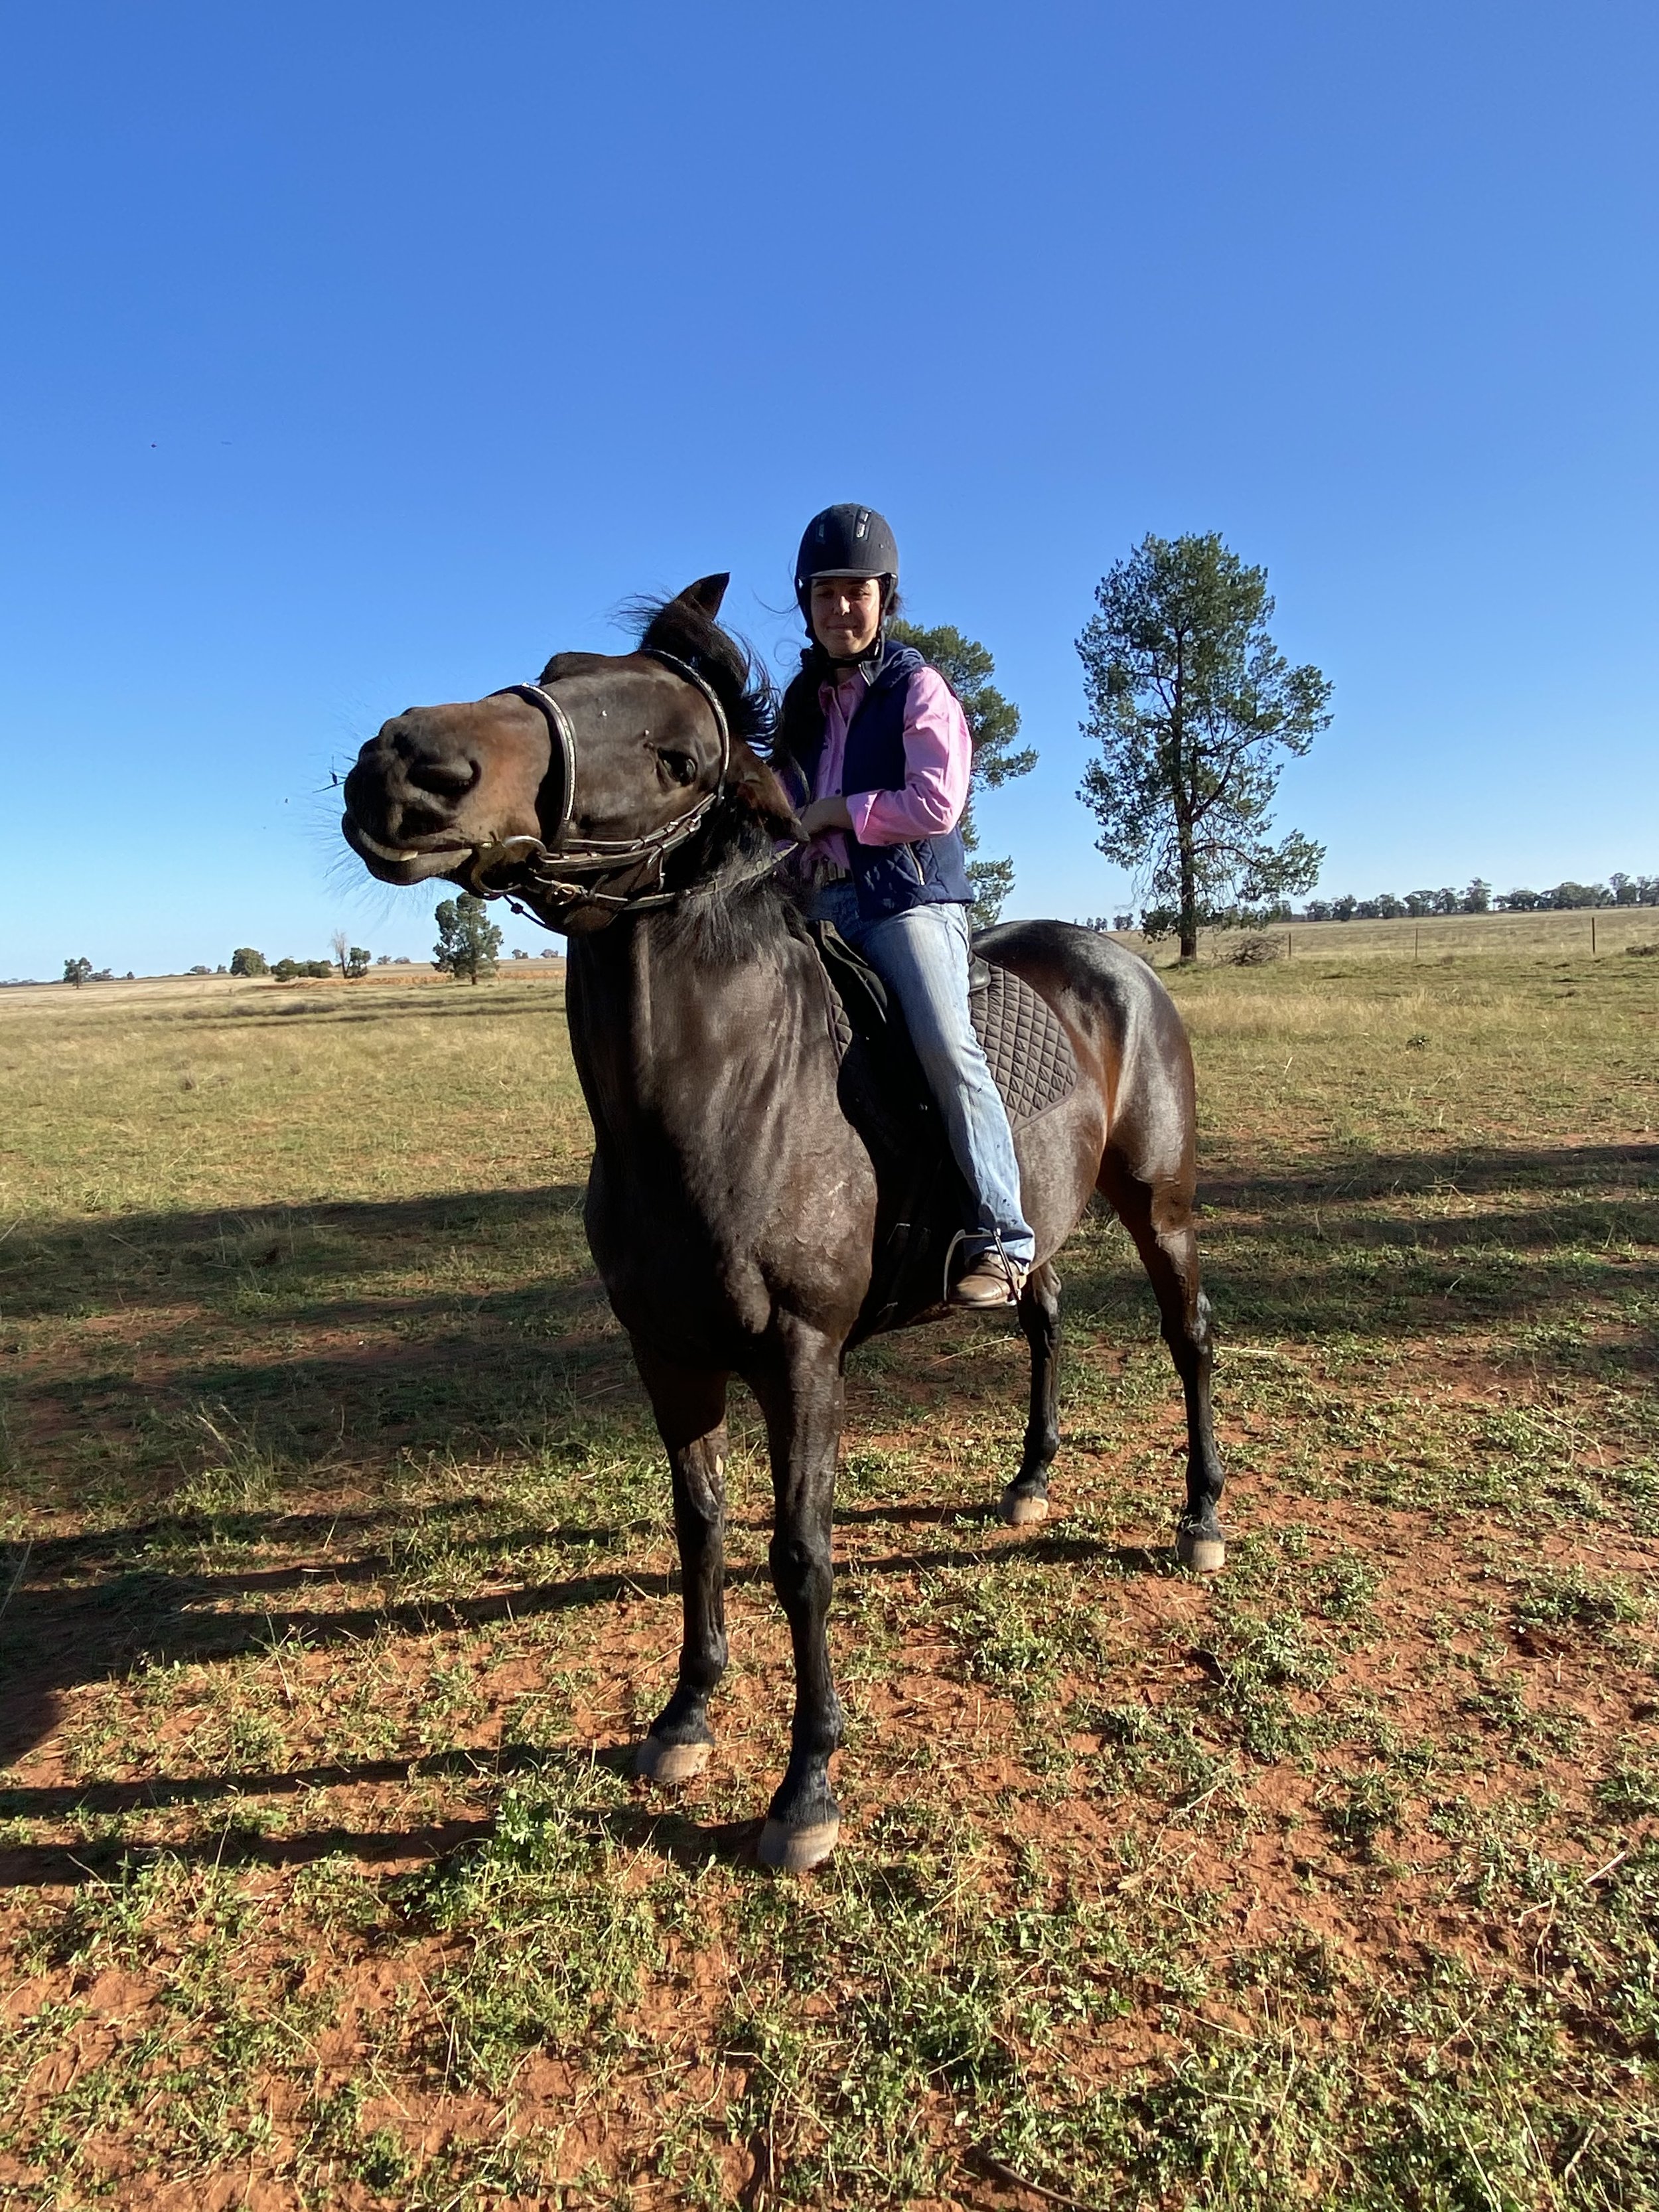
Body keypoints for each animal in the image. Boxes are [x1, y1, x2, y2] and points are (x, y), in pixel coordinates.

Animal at [341, 575, 1225, 1872]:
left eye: (680, 758)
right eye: (554, 667)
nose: (408, 764)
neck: (728, 1094)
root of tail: (1117, 958)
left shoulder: (804, 1360)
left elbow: (800, 1555)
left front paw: (807, 1787)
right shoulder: (667, 1353)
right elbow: (700, 1524)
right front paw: (685, 1715)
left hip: (1159, 1203)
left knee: (1189, 1338)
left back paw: (1201, 1517)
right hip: (1044, 1226)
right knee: (1046, 1317)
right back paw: (1029, 1479)